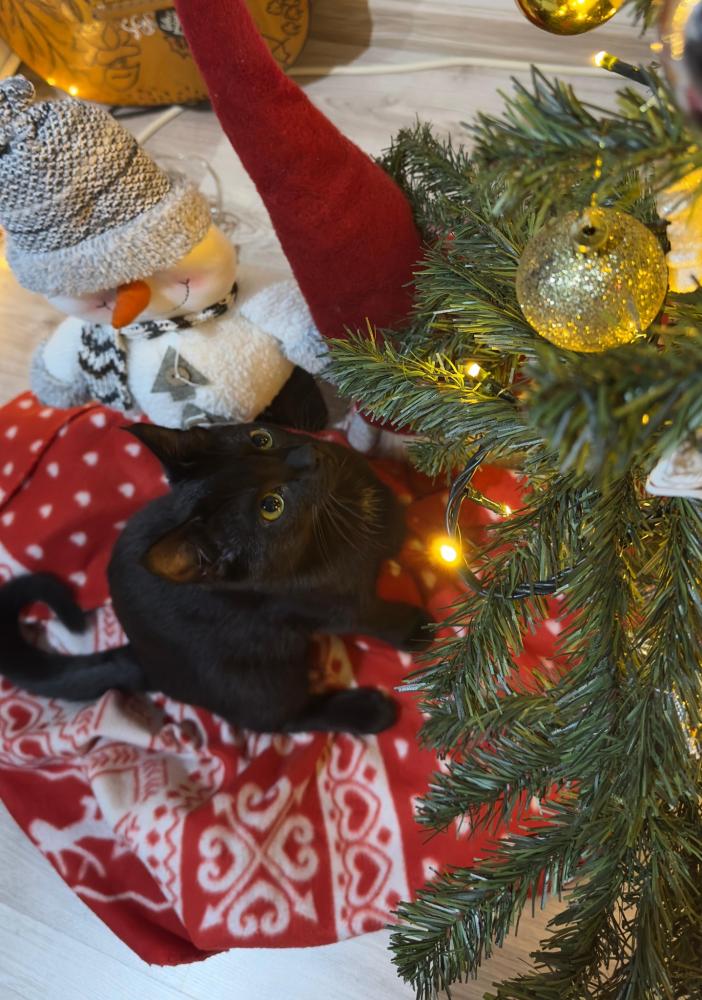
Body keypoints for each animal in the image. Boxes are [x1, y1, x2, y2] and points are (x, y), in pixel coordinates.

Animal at [0, 422, 432, 735]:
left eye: (261, 438)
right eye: (271, 506)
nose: (309, 455)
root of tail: (143, 659)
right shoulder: (324, 606)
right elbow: (373, 616)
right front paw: (415, 629)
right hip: (257, 679)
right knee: (281, 721)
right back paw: (366, 712)